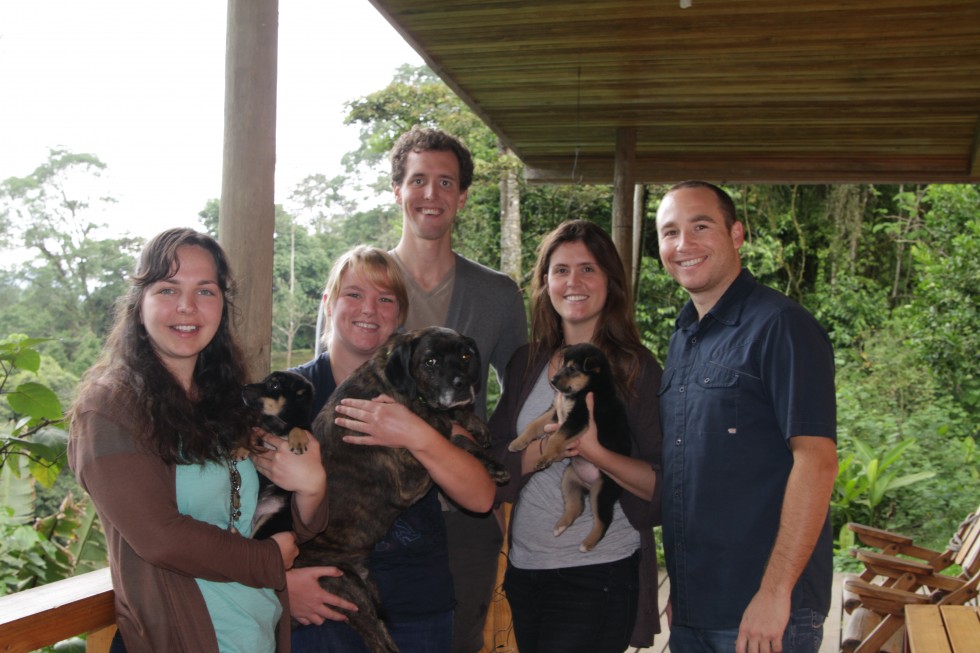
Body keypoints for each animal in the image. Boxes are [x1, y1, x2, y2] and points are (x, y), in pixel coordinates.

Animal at [239, 370, 312, 544]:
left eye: (274, 385)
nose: (243, 387)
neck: (276, 425)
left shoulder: (303, 427)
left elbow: (298, 427)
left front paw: (298, 439)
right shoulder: (262, 432)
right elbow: (252, 432)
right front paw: (240, 449)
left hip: (270, 520)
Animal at [296, 326, 512, 652]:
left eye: (465, 356)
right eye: (431, 361)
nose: (462, 385)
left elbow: (452, 424)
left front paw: (478, 428)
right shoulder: (409, 477)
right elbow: (451, 438)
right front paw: (482, 451)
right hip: (347, 591)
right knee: (378, 643)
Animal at [510, 344, 632, 552]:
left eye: (573, 368)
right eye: (562, 364)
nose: (552, 380)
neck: (589, 387)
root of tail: (587, 485)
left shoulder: (578, 418)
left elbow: (555, 438)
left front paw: (544, 458)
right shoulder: (553, 412)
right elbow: (534, 425)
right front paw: (518, 443)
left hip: (602, 490)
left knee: (604, 518)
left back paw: (587, 543)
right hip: (569, 479)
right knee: (576, 507)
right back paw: (560, 526)